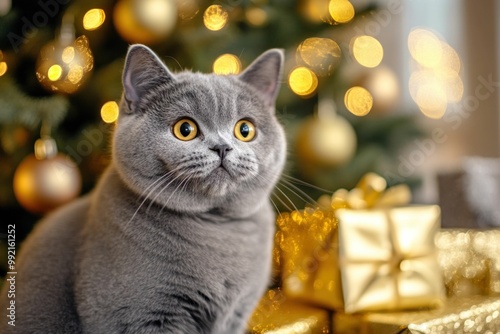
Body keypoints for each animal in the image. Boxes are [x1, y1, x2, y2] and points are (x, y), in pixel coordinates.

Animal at [0, 45, 288, 334]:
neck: (218, 231)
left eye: (245, 129)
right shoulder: (143, 316)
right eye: (185, 129)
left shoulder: (236, 316)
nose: (222, 147)